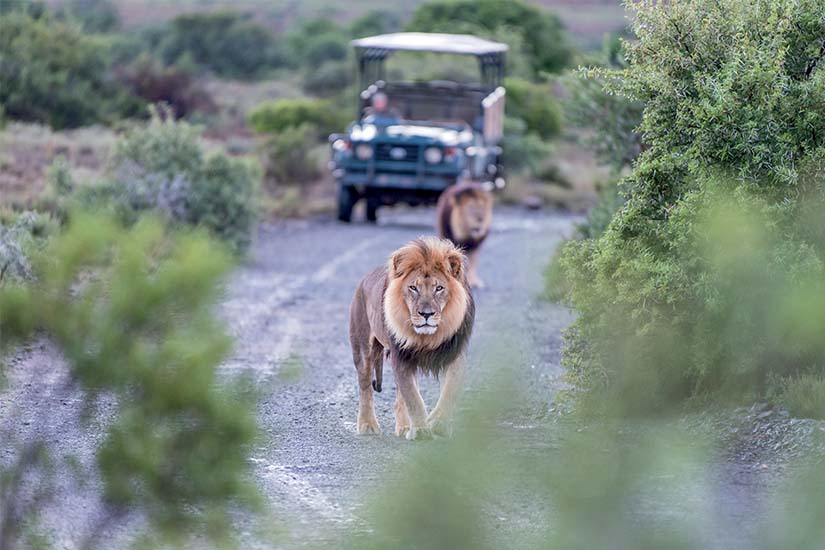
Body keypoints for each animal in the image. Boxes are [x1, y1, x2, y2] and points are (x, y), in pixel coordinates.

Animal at [350, 239, 476, 442]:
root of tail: (364, 280)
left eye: (439, 288)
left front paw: (437, 425)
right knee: (365, 386)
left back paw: (404, 427)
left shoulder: (454, 355)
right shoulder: (401, 357)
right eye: (413, 288)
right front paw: (421, 430)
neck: (427, 338)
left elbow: (448, 392)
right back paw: (368, 425)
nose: (426, 314)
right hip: (363, 350)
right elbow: (413, 398)